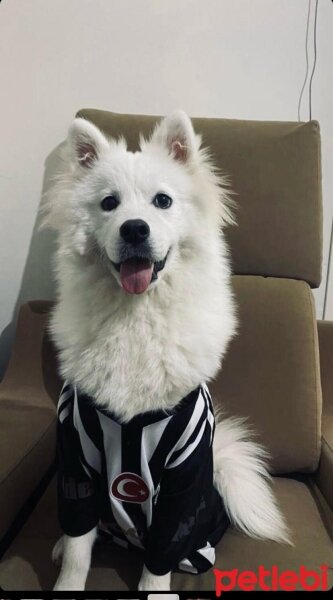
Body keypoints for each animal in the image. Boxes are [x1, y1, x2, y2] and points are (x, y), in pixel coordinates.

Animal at [41, 110, 290, 592]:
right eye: (108, 203)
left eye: (162, 201)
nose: (135, 228)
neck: (135, 319)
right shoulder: (77, 462)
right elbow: (79, 550)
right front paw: (66, 580)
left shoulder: (184, 479)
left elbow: (159, 561)